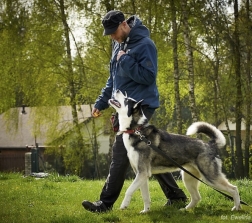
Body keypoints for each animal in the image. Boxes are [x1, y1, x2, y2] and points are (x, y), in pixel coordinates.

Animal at [108, 89, 240, 213]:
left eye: (126, 100)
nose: (117, 90)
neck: (136, 131)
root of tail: (210, 144)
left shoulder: (142, 173)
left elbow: (129, 190)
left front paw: (124, 205)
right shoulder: (141, 175)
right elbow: (145, 197)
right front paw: (146, 211)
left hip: (210, 177)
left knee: (234, 189)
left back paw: (237, 207)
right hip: (188, 178)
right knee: (197, 197)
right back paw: (185, 209)